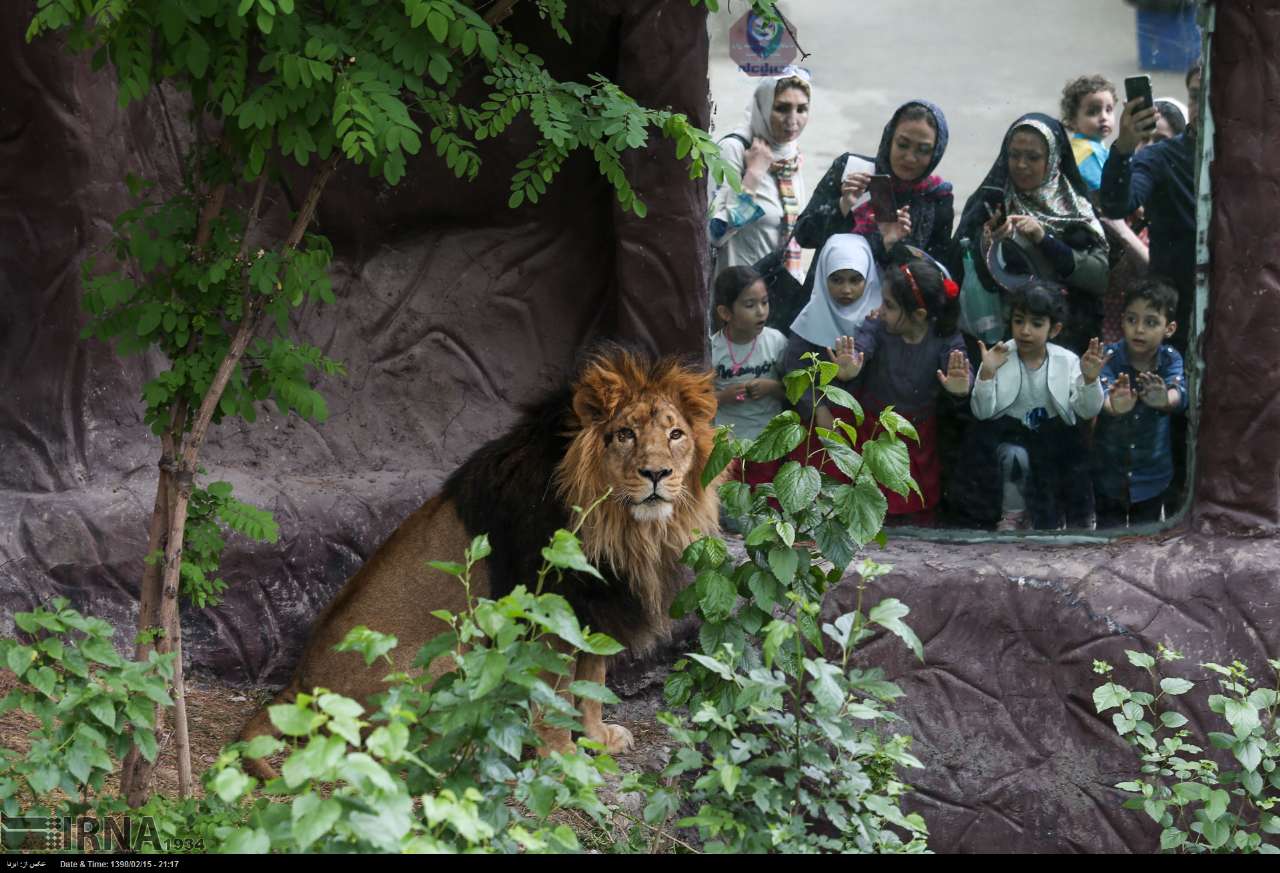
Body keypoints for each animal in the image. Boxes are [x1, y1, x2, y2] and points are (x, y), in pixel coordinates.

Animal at [240, 345, 721, 768]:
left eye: (675, 434)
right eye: (626, 434)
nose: (657, 473)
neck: (622, 527)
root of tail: (300, 685)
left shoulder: (594, 606)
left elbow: (591, 682)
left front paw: (598, 738)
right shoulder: (549, 611)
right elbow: (557, 691)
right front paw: (563, 758)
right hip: (452, 651)